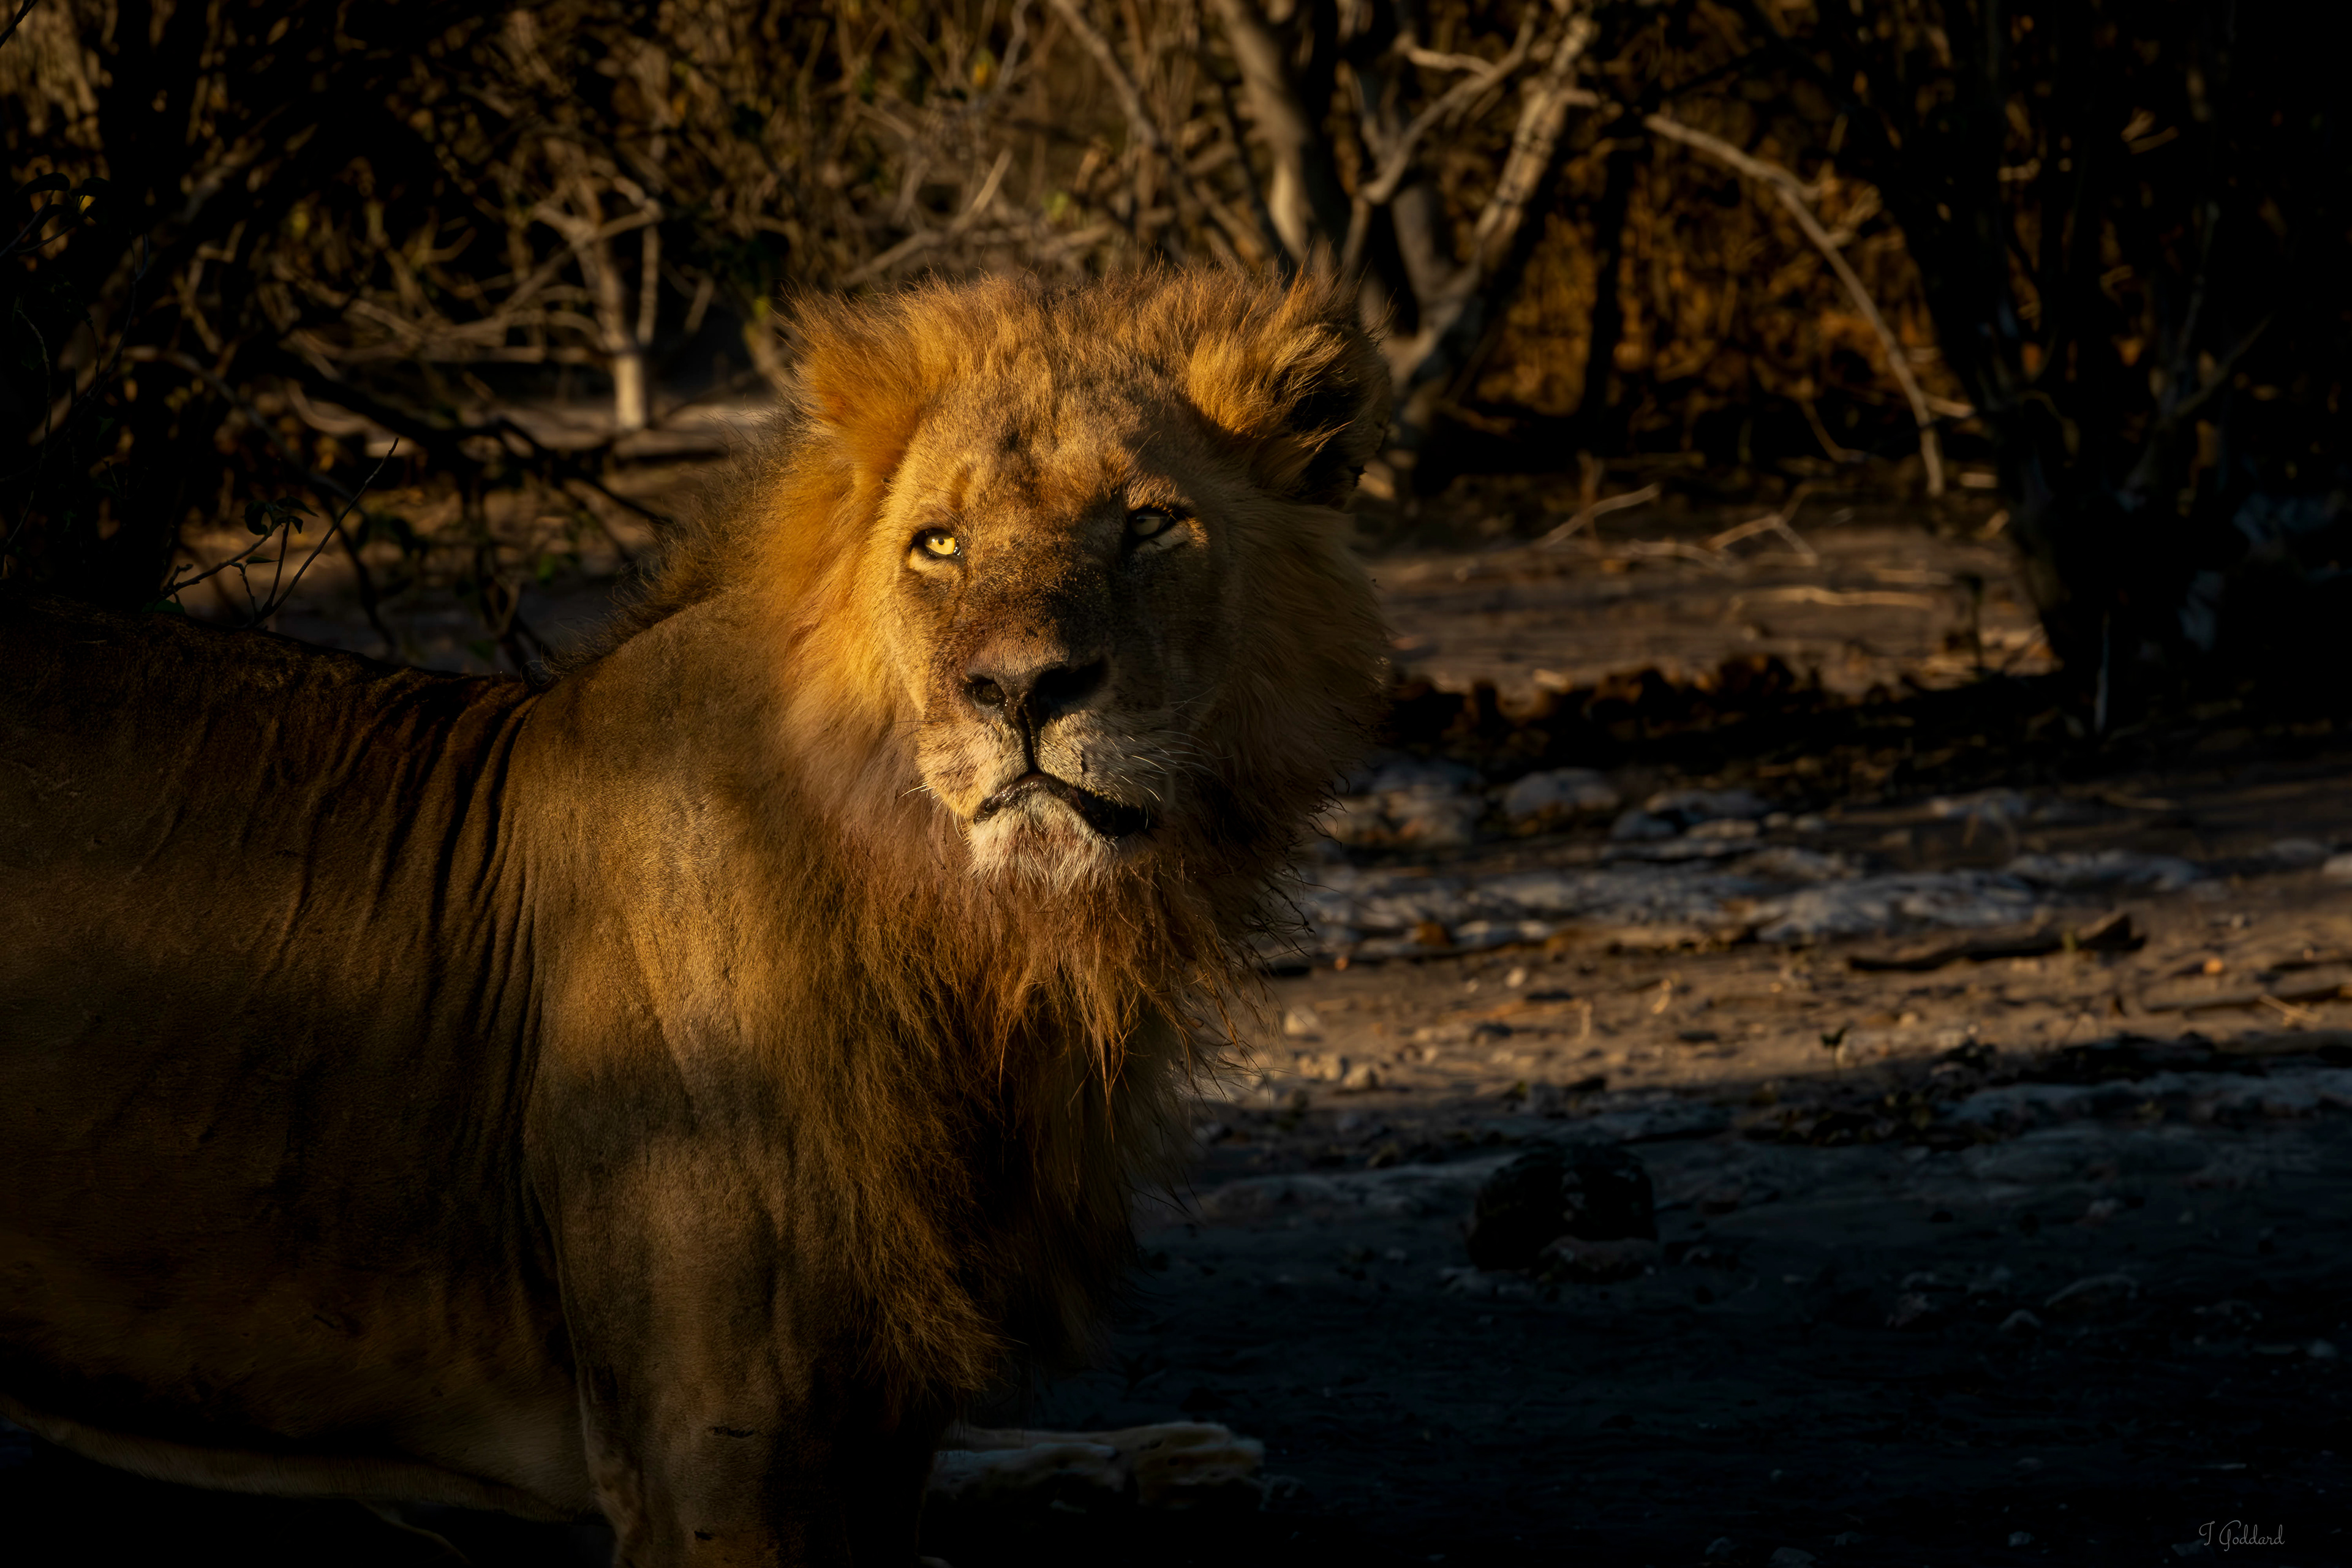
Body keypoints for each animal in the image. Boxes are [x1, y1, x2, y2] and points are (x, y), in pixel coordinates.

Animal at [0, 268, 1390, 1564]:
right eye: (938, 545)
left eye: (1151, 526)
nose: (1019, 689)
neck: (977, 941)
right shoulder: (718, 1468)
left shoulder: (876, 1440)